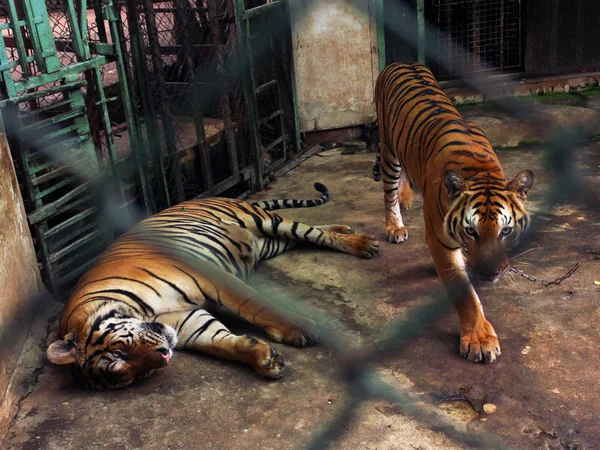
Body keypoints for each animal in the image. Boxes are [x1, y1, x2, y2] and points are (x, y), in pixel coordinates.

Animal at [47, 183, 378, 390]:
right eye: (136, 374)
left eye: (118, 353)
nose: (164, 357)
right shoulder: (188, 322)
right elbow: (222, 342)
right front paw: (264, 358)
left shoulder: (211, 276)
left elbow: (257, 306)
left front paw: (302, 328)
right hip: (270, 243)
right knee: (309, 235)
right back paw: (347, 228)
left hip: (265, 222)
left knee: (309, 231)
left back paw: (362, 244)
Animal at [376, 63, 536, 364]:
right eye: (471, 230)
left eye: (506, 230)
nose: (491, 273)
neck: (481, 171)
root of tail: (401, 62)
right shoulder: (441, 241)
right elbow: (466, 297)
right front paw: (480, 340)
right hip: (388, 150)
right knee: (388, 191)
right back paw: (395, 226)